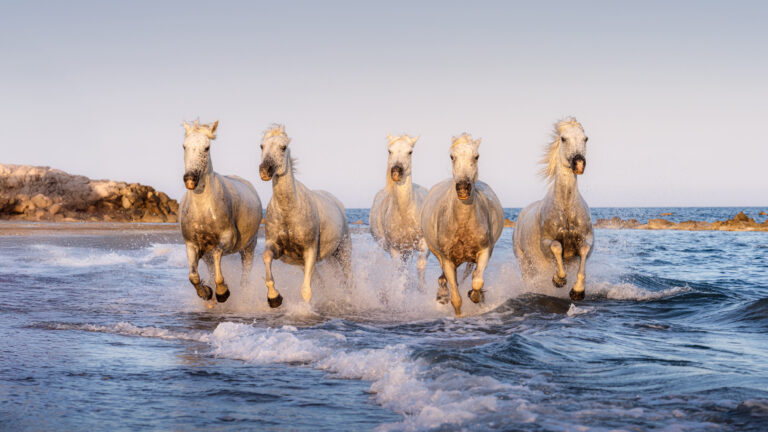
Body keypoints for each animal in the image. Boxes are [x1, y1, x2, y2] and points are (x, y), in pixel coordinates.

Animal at [179, 119, 263, 304]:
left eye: (207, 147)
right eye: (184, 146)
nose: (190, 179)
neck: (203, 209)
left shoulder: (228, 238)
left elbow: (218, 253)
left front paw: (222, 292)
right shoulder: (192, 245)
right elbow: (193, 276)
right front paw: (206, 292)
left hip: (249, 247)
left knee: (245, 275)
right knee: (210, 267)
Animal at [258, 124, 352, 308]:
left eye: (283, 147)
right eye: (262, 146)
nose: (265, 170)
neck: (289, 210)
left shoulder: (310, 250)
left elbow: (306, 291)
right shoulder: (277, 247)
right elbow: (266, 258)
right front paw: (274, 297)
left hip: (344, 251)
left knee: (349, 277)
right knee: (322, 281)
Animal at [369, 133, 430, 286]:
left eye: (410, 152)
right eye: (389, 151)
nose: (396, 172)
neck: (405, 214)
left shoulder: (423, 246)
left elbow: (420, 268)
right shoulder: (395, 249)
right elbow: (399, 273)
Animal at [421, 133, 504, 316]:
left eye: (476, 156)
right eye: (452, 156)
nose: (463, 188)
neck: (462, 223)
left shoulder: (484, 251)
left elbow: (477, 281)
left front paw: (475, 295)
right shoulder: (447, 260)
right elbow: (456, 299)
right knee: (445, 279)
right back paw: (442, 293)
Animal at [513, 117, 593, 301]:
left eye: (585, 138)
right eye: (563, 138)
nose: (579, 163)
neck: (566, 209)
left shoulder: (586, 240)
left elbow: (584, 251)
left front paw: (577, 290)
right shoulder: (546, 242)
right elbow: (556, 247)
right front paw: (559, 280)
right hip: (524, 263)